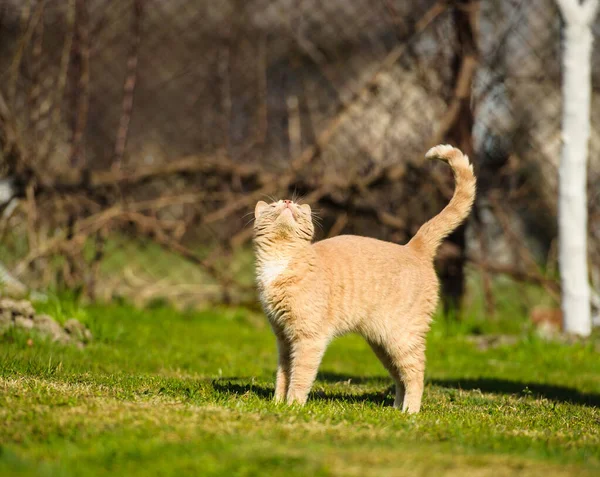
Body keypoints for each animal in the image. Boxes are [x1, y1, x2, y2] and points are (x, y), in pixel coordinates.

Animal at [251, 143, 476, 410]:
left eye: (295, 206)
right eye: (274, 206)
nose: (286, 201)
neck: (283, 259)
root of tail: (413, 247)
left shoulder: (308, 338)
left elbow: (300, 376)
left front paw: (293, 406)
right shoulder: (284, 338)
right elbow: (283, 375)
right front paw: (277, 403)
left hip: (401, 336)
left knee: (416, 372)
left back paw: (410, 411)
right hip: (382, 343)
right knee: (399, 376)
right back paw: (395, 410)